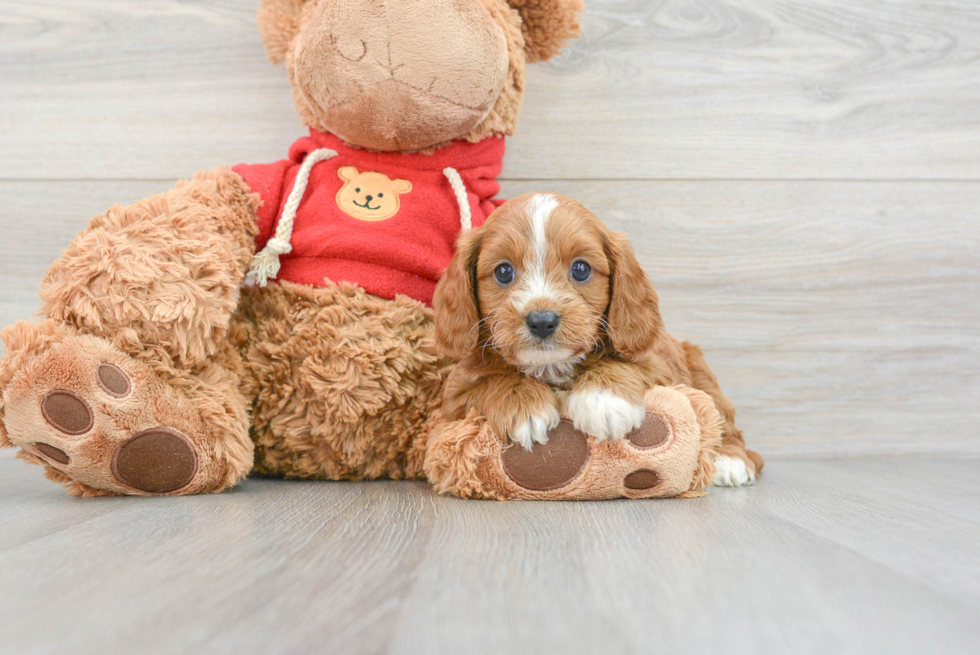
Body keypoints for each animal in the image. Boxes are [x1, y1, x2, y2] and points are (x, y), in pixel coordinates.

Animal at [436, 193, 764, 486]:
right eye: (503, 272)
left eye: (581, 269)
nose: (542, 320)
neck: (551, 366)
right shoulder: (454, 394)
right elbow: (492, 382)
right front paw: (524, 408)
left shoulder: (659, 365)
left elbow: (623, 365)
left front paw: (603, 401)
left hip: (699, 368)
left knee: (722, 417)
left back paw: (731, 460)